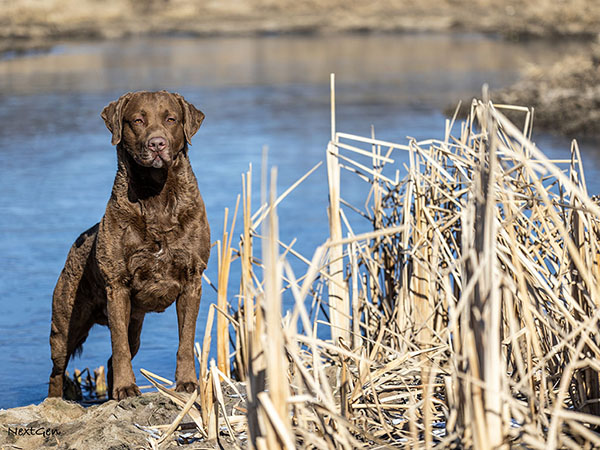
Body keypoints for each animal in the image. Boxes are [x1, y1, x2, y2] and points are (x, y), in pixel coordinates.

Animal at [47, 89, 211, 400]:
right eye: (137, 120)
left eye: (171, 119)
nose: (157, 143)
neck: (156, 196)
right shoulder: (117, 284)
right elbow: (118, 344)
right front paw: (125, 388)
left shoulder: (192, 278)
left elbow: (186, 340)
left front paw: (187, 383)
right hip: (65, 323)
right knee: (57, 370)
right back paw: (55, 400)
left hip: (135, 322)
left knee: (113, 357)